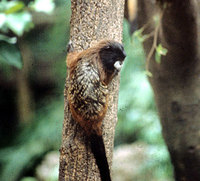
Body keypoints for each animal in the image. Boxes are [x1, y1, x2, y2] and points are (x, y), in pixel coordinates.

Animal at [67, 40, 126, 181]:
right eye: (117, 58)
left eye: (121, 59)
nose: (120, 64)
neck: (98, 53)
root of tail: (92, 120)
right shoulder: (85, 56)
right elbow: (70, 61)